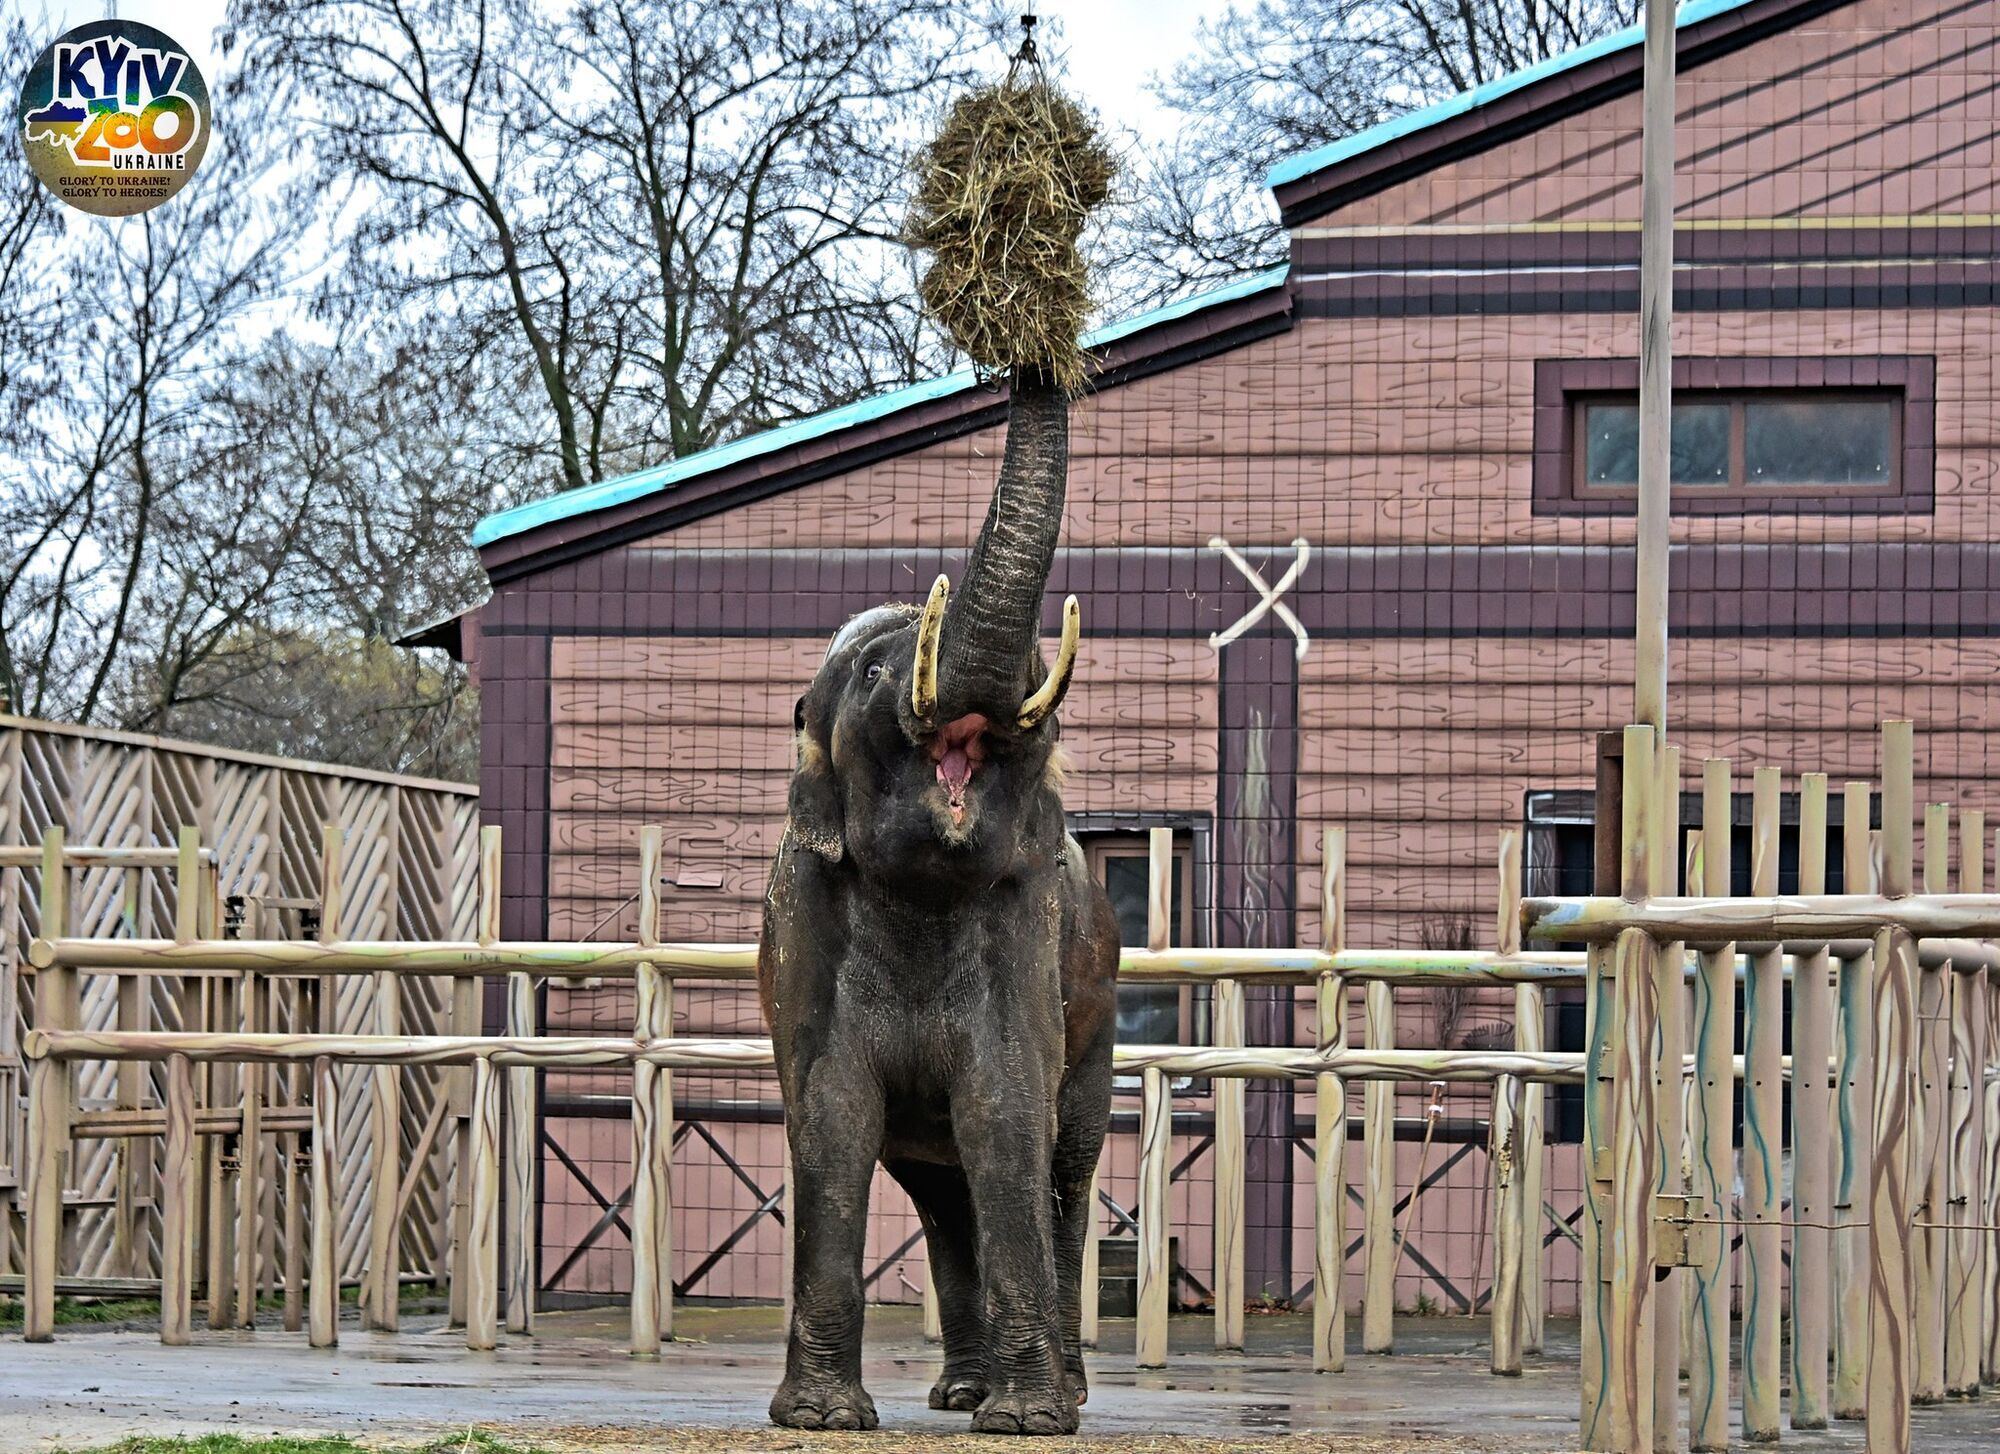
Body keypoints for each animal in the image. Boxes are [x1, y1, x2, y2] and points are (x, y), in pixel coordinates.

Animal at [752, 370, 1120, 1440]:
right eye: (876, 674)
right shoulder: (807, 920)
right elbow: (834, 1114)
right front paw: (823, 1421)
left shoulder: (1023, 922)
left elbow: (1005, 1106)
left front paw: (1030, 1424)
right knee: (939, 1191)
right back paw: (960, 1393)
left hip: (1100, 1018)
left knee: (1062, 1168)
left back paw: (1048, 1392)